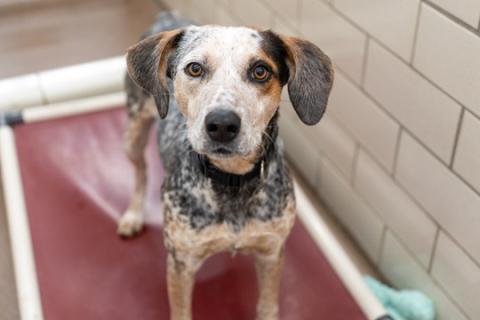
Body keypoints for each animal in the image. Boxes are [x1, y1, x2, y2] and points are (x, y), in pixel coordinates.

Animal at [117, 15, 334, 320]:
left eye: (260, 71)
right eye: (194, 68)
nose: (221, 124)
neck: (232, 179)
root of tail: (169, 17)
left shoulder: (271, 252)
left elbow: (267, 307)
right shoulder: (181, 263)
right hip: (133, 134)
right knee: (141, 171)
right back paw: (134, 215)